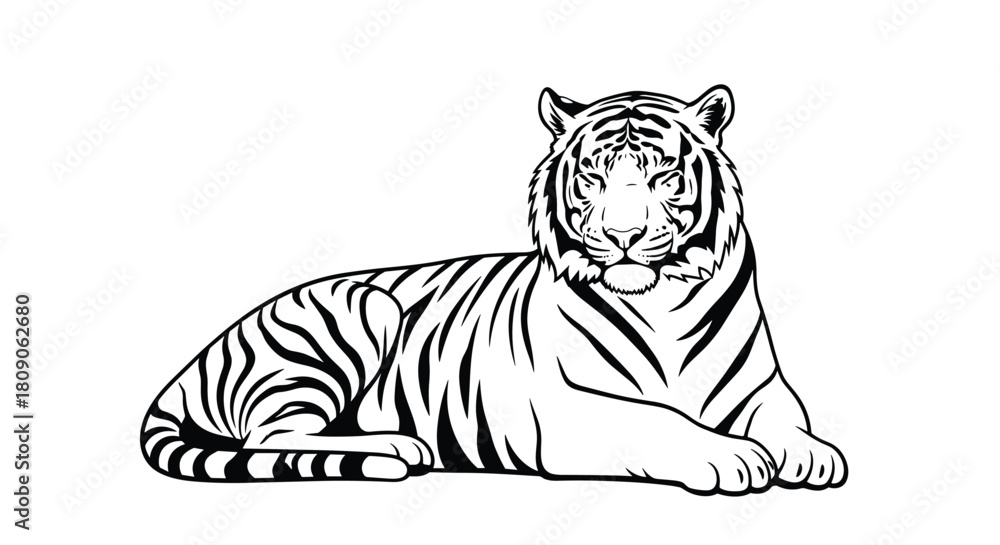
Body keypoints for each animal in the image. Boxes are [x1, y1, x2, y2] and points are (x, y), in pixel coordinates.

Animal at [141, 85, 847, 494]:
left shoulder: (761, 386)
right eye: (593, 175)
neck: (661, 301)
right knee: (272, 440)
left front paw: (812, 456)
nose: (622, 236)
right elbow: (656, 418)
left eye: (662, 174)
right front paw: (729, 458)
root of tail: (200, 356)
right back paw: (398, 446)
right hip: (357, 315)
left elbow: (785, 418)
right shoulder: (568, 408)